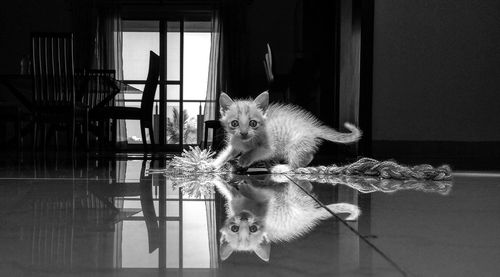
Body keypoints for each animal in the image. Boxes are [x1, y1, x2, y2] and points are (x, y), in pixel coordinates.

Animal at [212, 91, 364, 171]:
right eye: (235, 123)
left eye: (253, 123)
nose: (243, 133)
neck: (247, 142)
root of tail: (312, 127)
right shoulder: (235, 144)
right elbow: (227, 153)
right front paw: (214, 164)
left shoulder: (269, 147)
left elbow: (256, 151)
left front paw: (244, 159)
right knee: (309, 156)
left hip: (295, 143)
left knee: (299, 160)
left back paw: (283, 168)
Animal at [215, 175, 360, 260]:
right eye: (235, 229)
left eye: (253, 229)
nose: (244, 218)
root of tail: (311, 213)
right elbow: (231, 189)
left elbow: (233, 188)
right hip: (292, 201)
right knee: (297, 186)